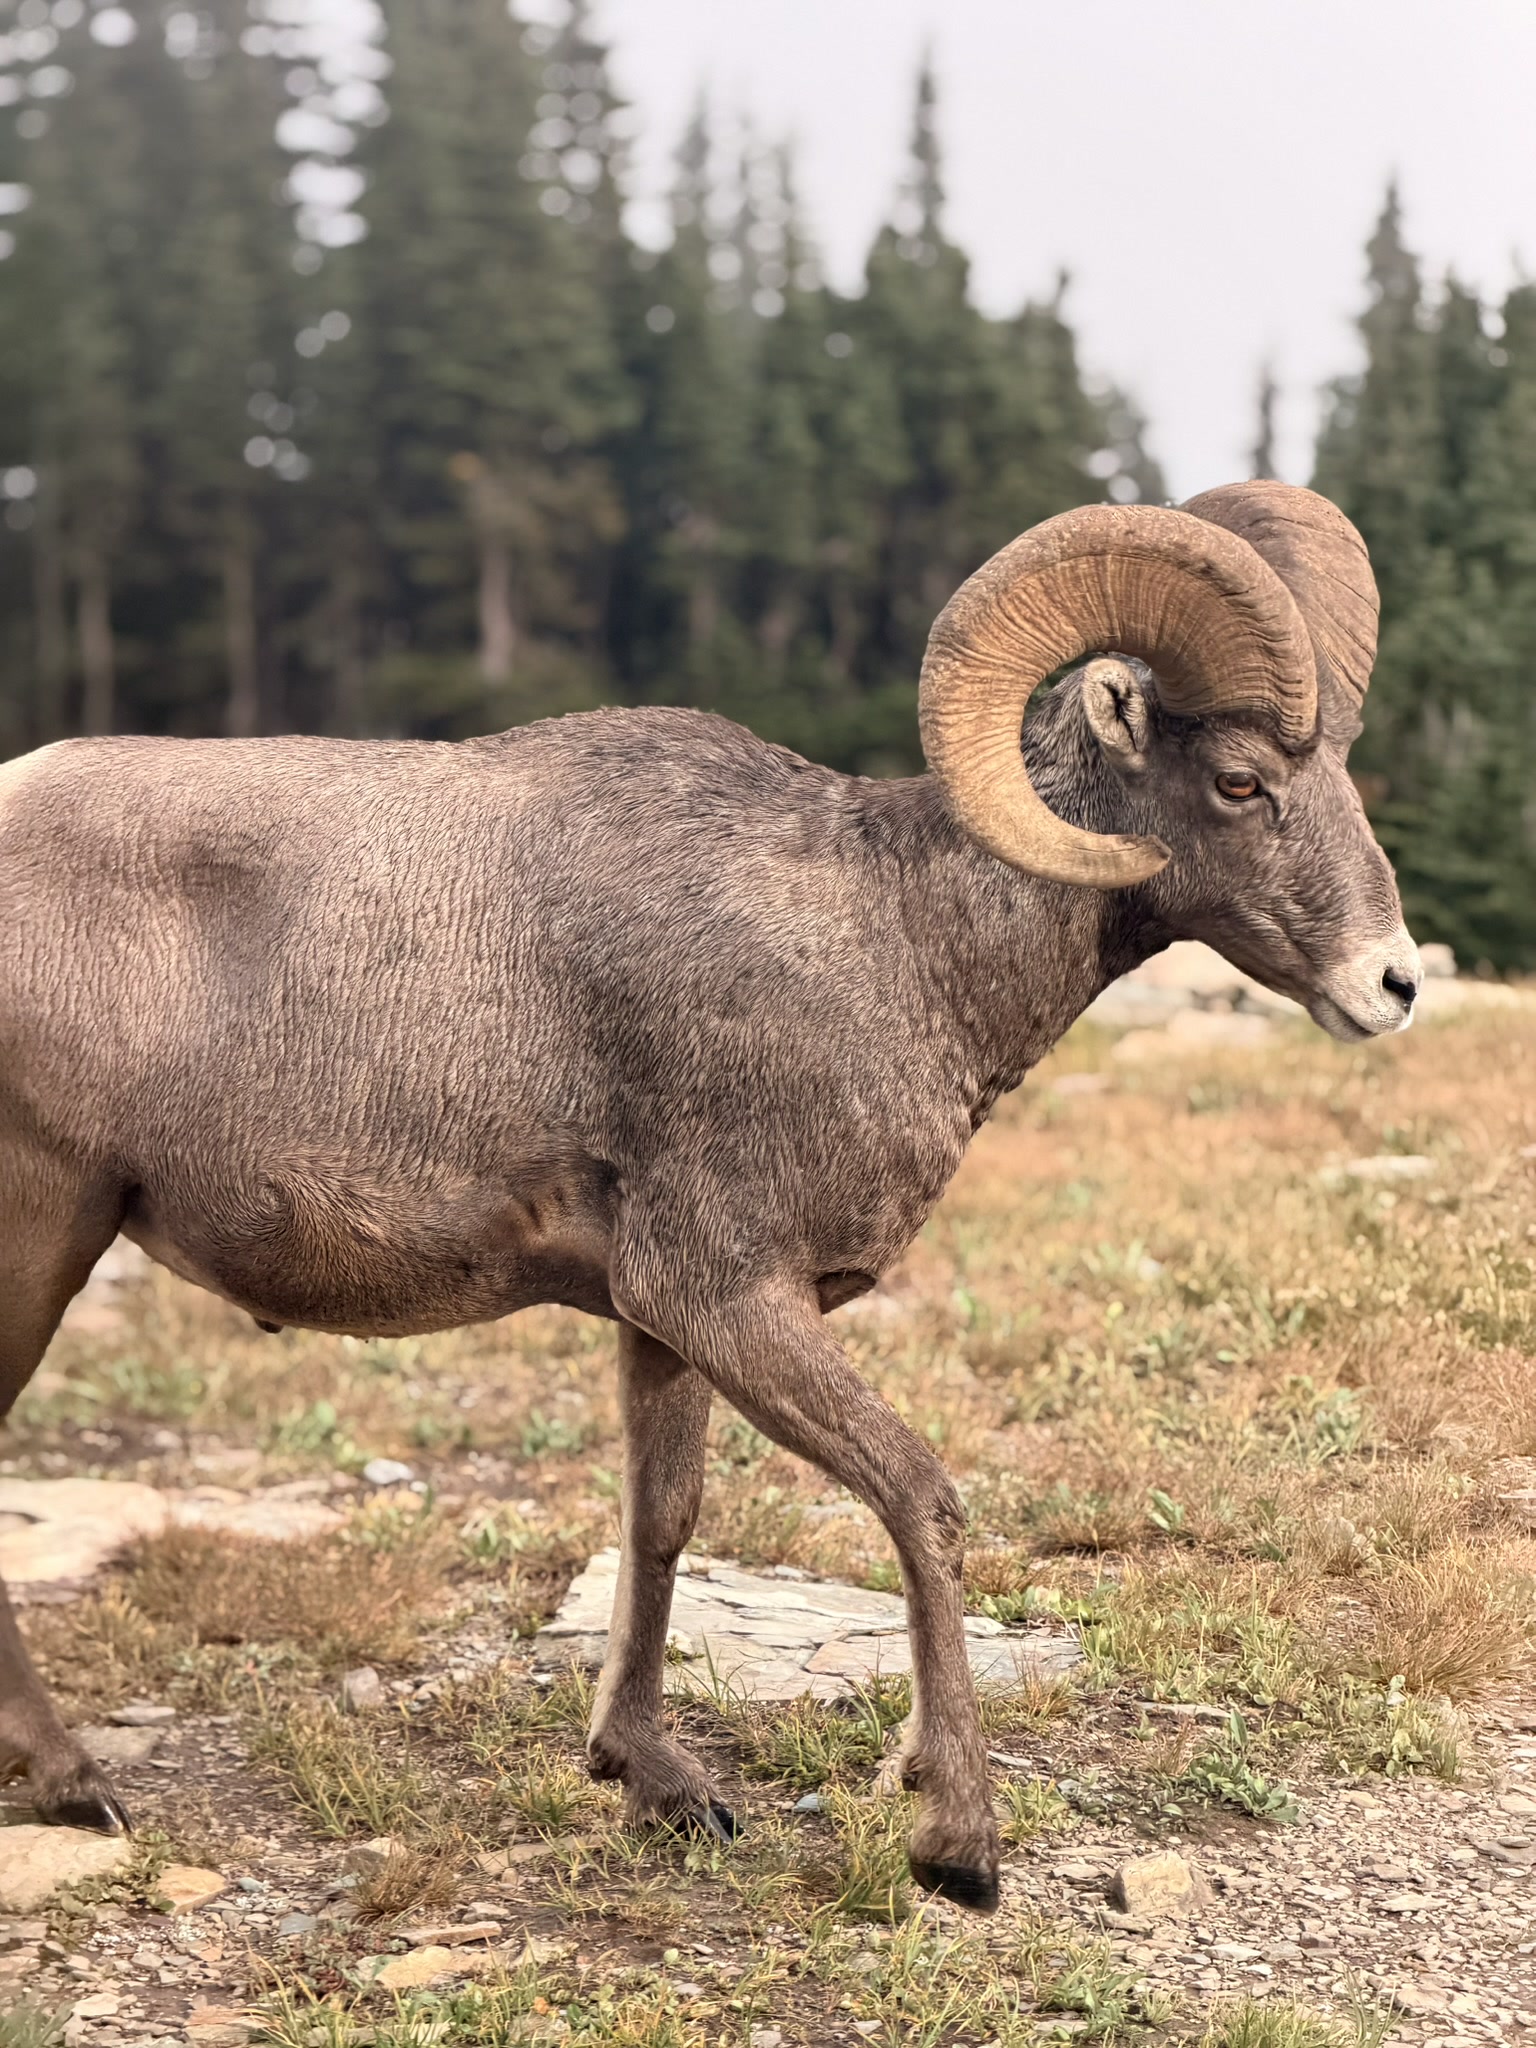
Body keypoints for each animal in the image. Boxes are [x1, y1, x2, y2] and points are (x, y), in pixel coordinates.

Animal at [0, 480, 1418, 1909]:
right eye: (1239, 781)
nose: (1394, 984)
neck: (899, 941)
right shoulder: (728, 1292)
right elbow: (920, 1496)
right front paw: (956, 1842)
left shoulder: (662, 1320)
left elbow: (663, 1518)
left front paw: (657, 1782)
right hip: (41, 1231)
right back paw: (75, 1785)